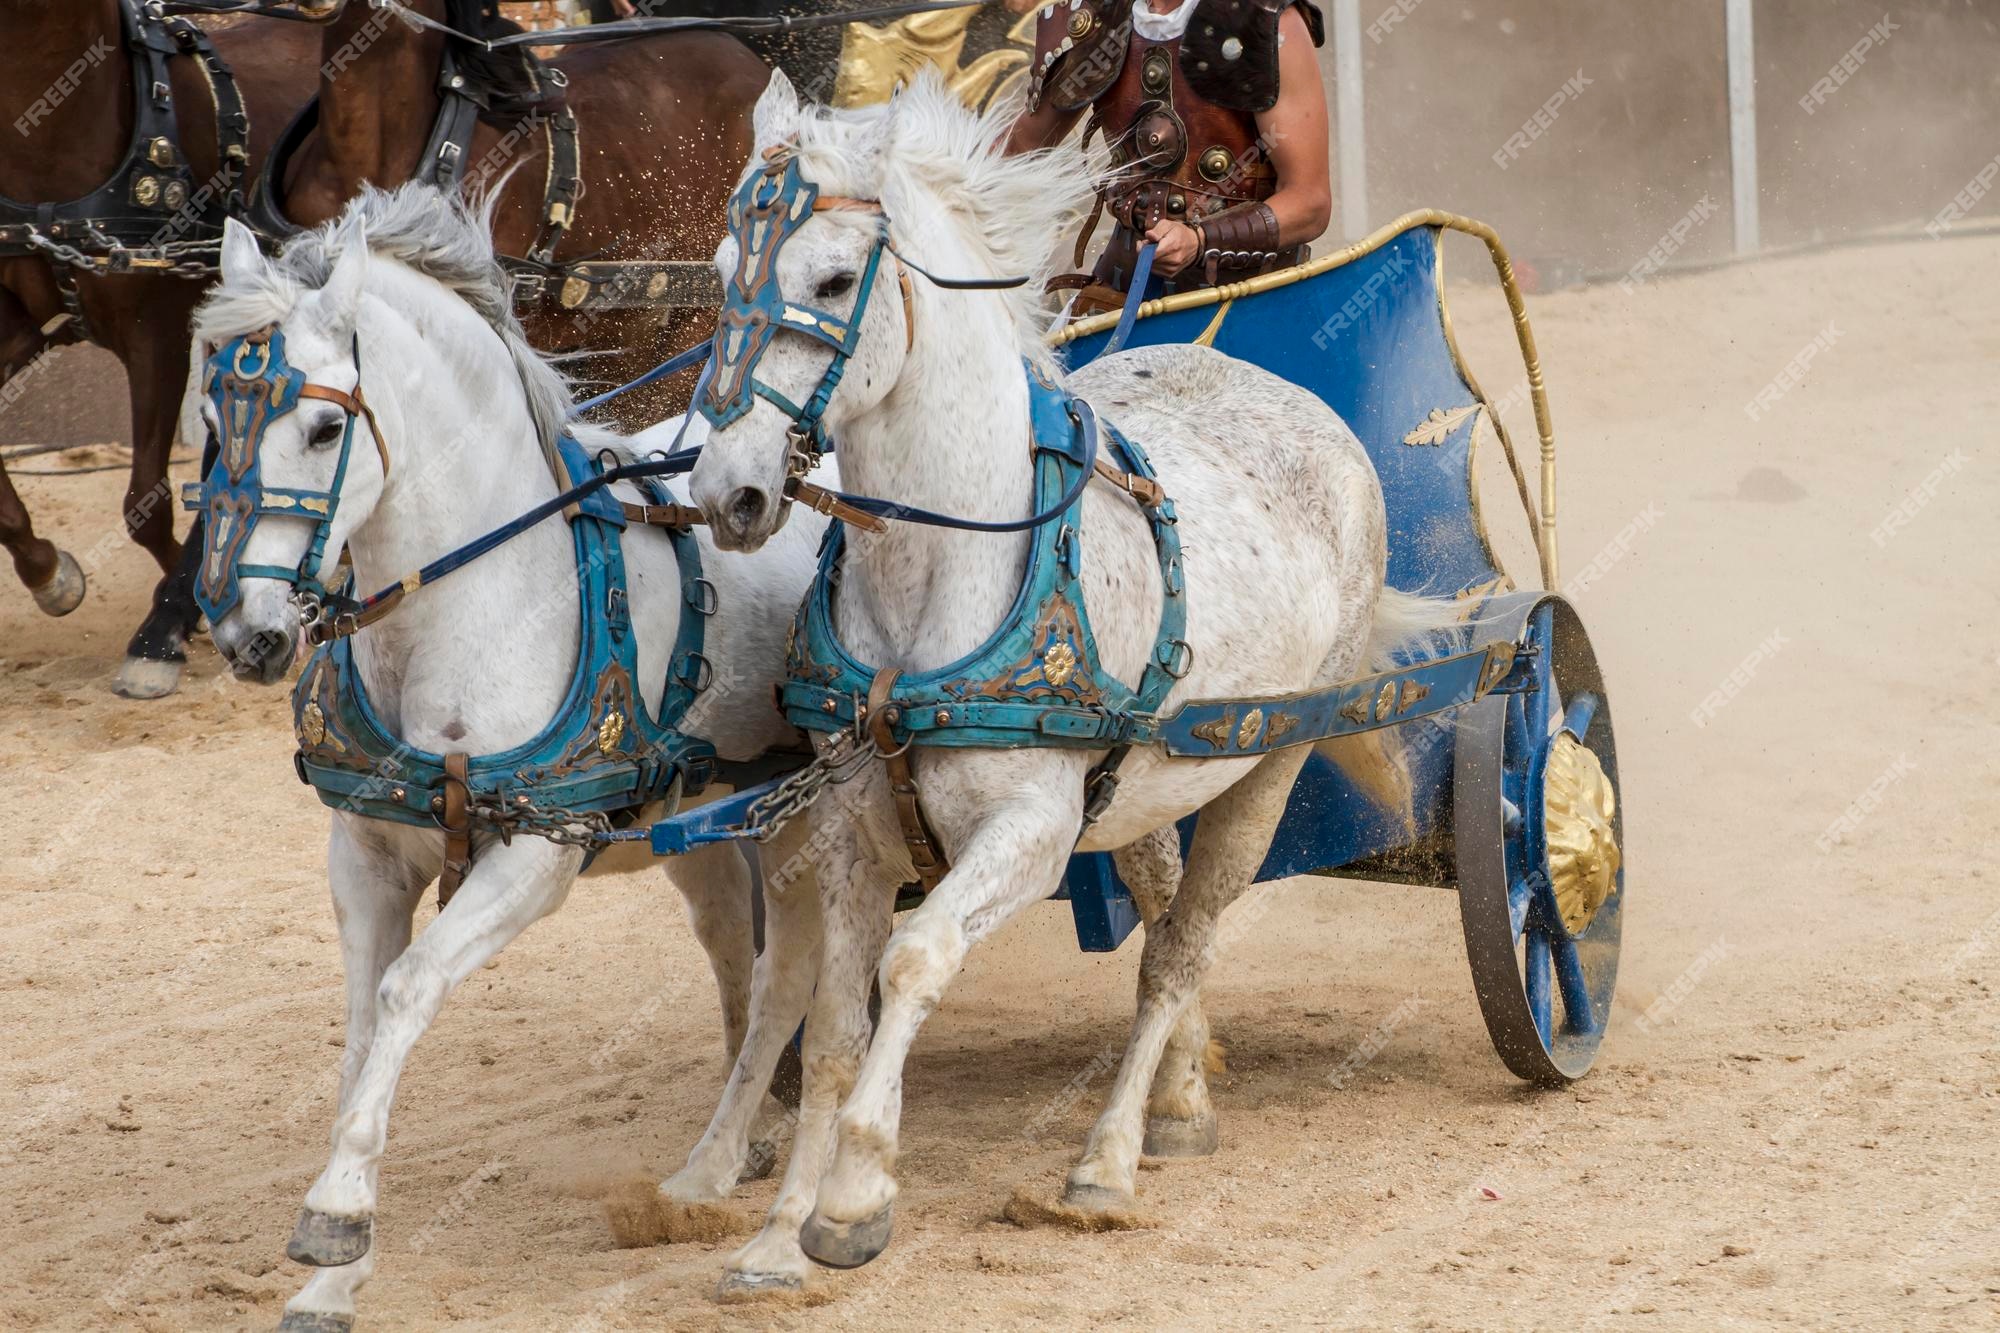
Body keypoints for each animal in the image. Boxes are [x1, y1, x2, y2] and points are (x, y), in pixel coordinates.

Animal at [193, 189, 828, 1328]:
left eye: (324, 426)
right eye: (216, 424)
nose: (248, 634)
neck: (471, 601)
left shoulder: (538, 851)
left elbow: (405, 992)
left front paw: (335, 1217)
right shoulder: (365, 857)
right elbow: (359, 1031)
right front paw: (332, 1273)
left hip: (806, 811)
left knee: (789, 965)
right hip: (712, 822)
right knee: (736, 952)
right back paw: (740, 1135)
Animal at [680, 72, 1448, 1288]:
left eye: (836, 280)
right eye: (719, 276)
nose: (728, 490)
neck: (934, 582)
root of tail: (1304, 409)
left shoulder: (1030, 833)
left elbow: (915, 960)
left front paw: (854, 1198)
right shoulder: (849, 827)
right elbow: (838, 1025)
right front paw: (776, 1234)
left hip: (1266, 762)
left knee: (1180, 945)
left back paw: (1106, 1159)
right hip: (1149, 780)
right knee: (1161, 898)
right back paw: (1181, 1095)